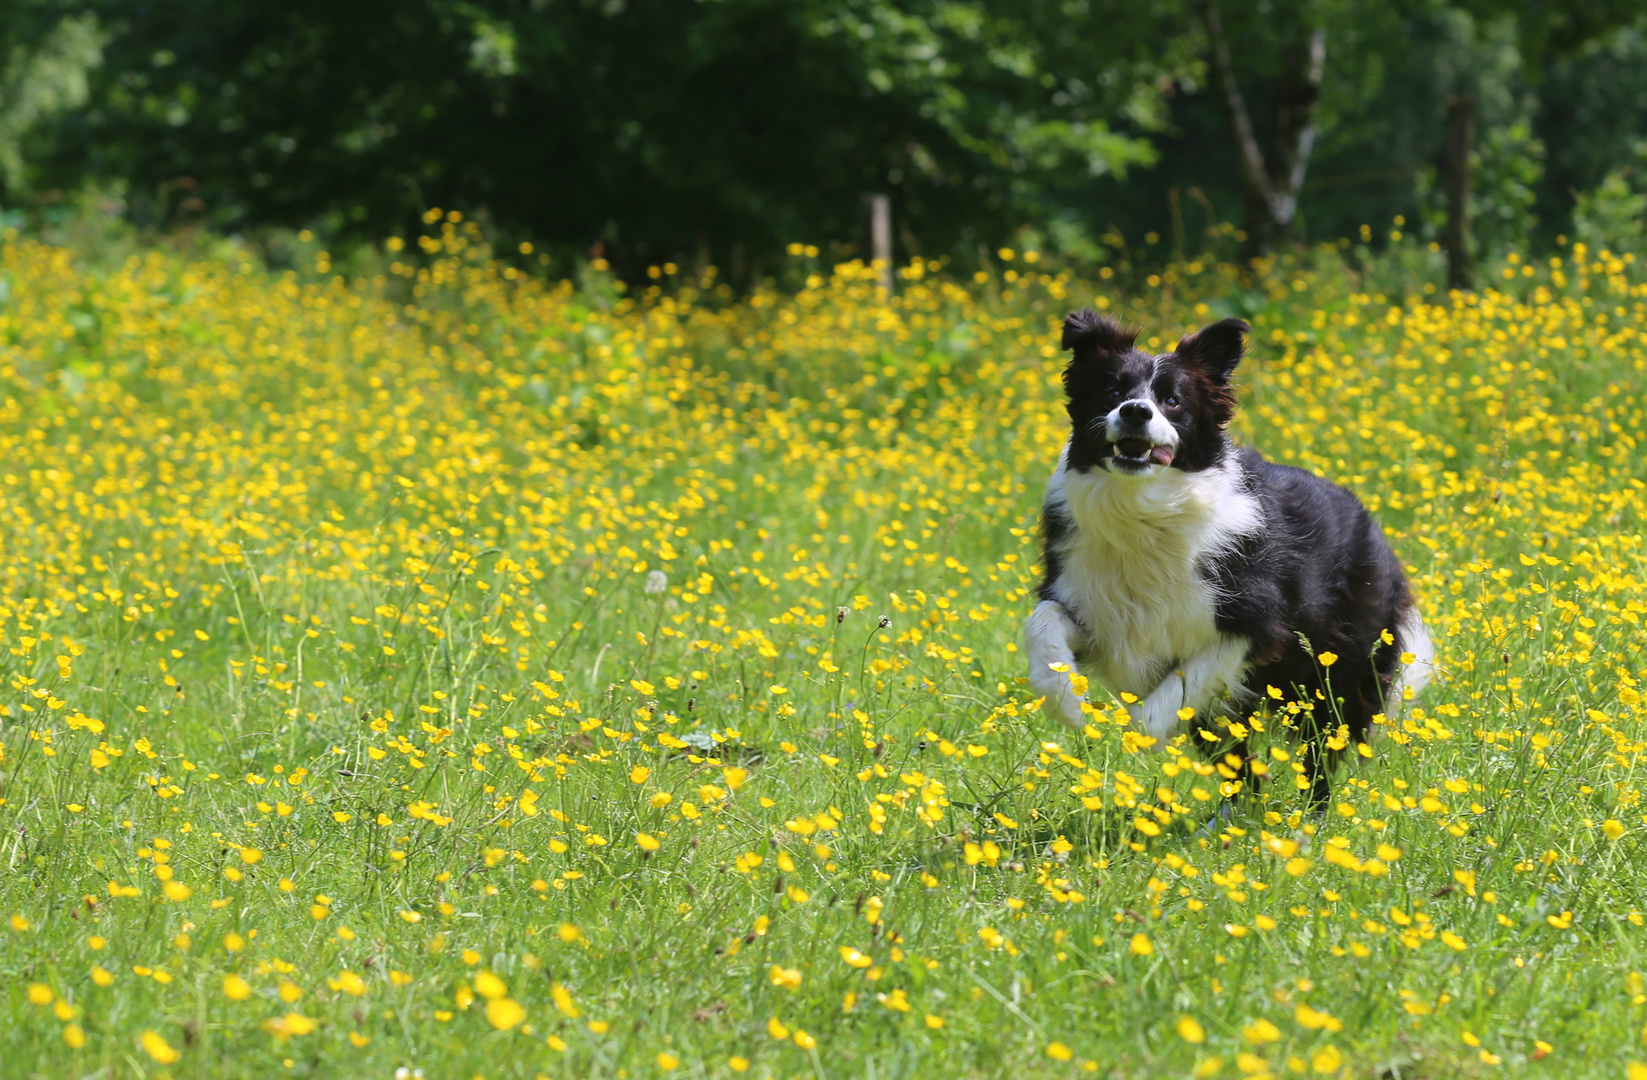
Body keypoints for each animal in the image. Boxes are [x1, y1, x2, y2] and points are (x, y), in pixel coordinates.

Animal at [1027, 307, 1429, 806]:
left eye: (1173, 400)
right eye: (1113, 392)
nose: (1136, 411)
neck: (1144, 511)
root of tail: (1370, 524)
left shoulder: (1254, 625)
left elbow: (1159, 708)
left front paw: (1135, 734)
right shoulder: (1090, 603)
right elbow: (1042, 623)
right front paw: (1064, 698)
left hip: (1333, 668)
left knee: (1321, 751)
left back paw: (1306, 818)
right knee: (1244, 765)